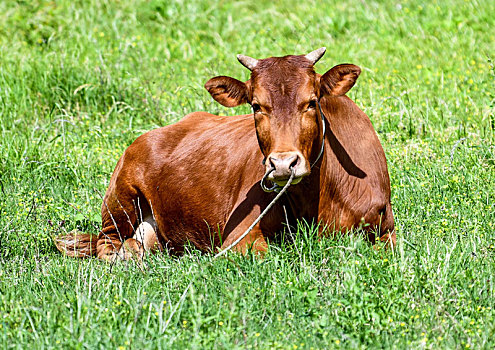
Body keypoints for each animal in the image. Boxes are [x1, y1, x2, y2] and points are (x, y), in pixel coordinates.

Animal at [55, 47, 396, 260]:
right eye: (256, 106)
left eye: (311, 102)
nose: (283, 164)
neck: (316, 202)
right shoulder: (238, 237)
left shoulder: (387, 230)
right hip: (120, 201)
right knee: (108, 244)